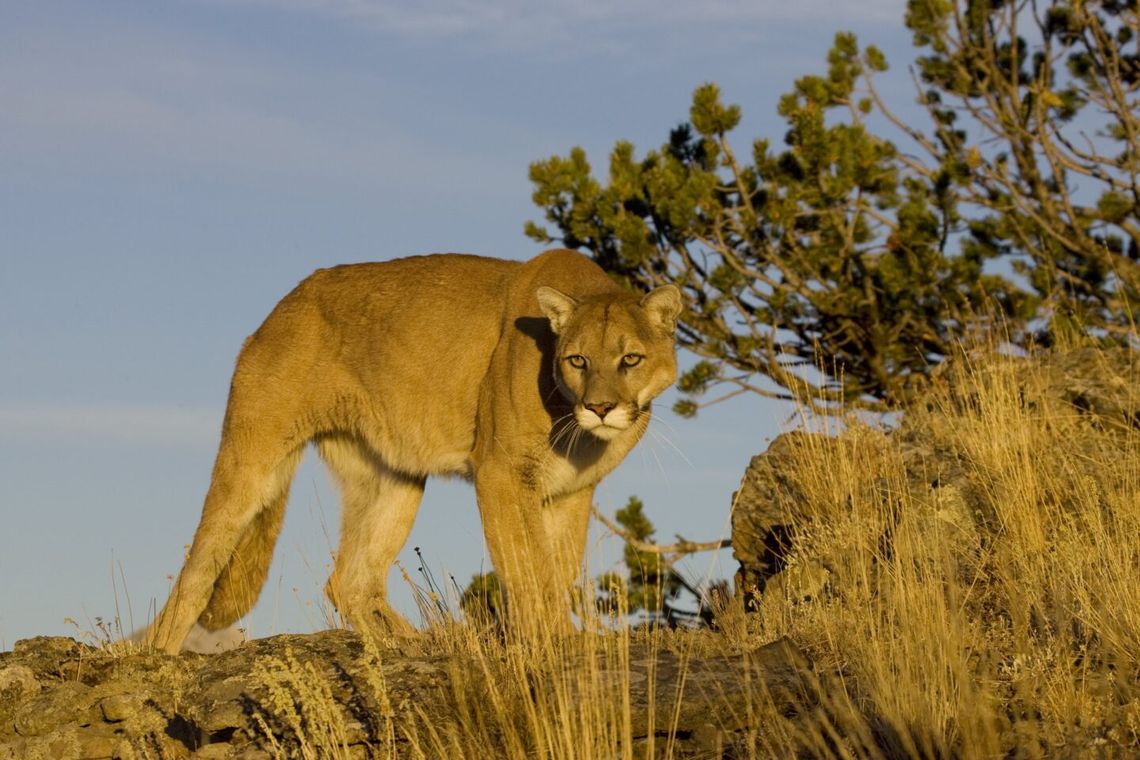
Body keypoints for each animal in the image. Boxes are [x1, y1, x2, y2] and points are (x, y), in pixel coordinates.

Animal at [141, 249, 674, 656]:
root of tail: (279, 309)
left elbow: (556, 569)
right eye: (577, 360)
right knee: (194, 575)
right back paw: (159, 660)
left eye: (631, 358)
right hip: (252, 461)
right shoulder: (501, 473)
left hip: (394, 476)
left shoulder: (571, 492)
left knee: (349, 581)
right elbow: (530, 569)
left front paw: (558, 638)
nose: (600, 407)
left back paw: (417, 642)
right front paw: (556, 641)